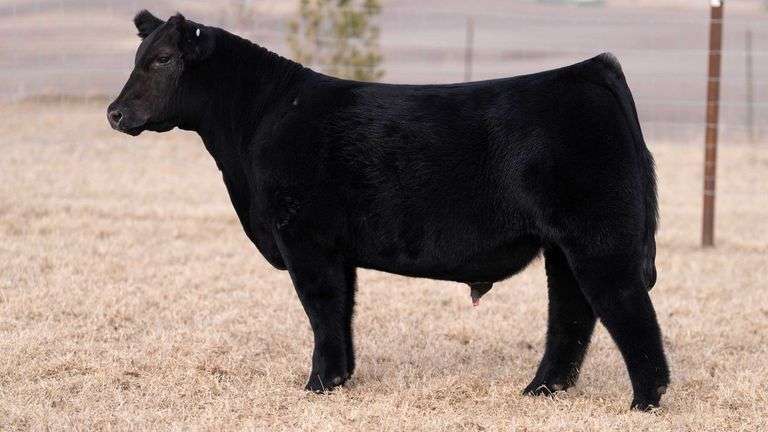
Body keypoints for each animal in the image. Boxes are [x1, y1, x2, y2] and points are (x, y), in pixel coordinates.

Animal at [107, 11, 669, 410]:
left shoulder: (305, 238)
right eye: (139, 55)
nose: (115, 113)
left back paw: (645, 401)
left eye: (162, 59)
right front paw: (338, 380)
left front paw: (318, 385)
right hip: (563, 245)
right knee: (572, 312)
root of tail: (590, 69)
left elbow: (321, 308)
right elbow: (340, 311)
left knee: (626, 308)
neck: (259, 121)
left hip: (600, 239)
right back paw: (541, 390)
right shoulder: (334, 248)